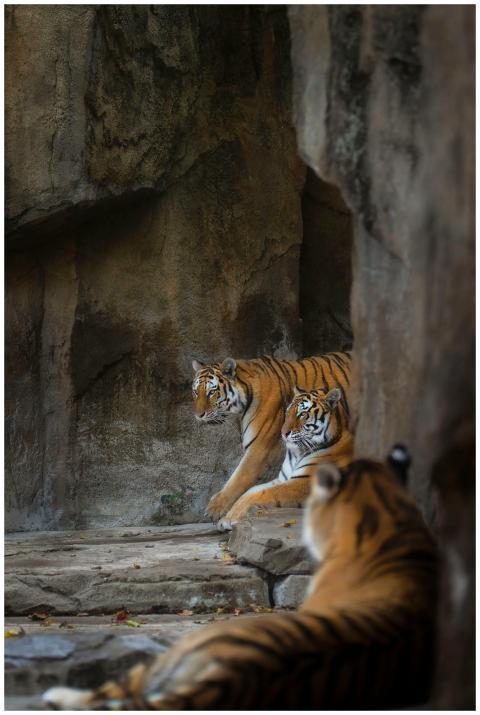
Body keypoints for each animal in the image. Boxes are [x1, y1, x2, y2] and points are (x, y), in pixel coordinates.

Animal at [218, 384, 353, 529]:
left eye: (303, 414)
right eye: (288, 413)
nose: (283, 433)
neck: (297, 453)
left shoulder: (303, 483)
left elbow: (261, 493)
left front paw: (229, 519)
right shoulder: (283, 478)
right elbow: (251, 490)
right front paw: (226, 517)